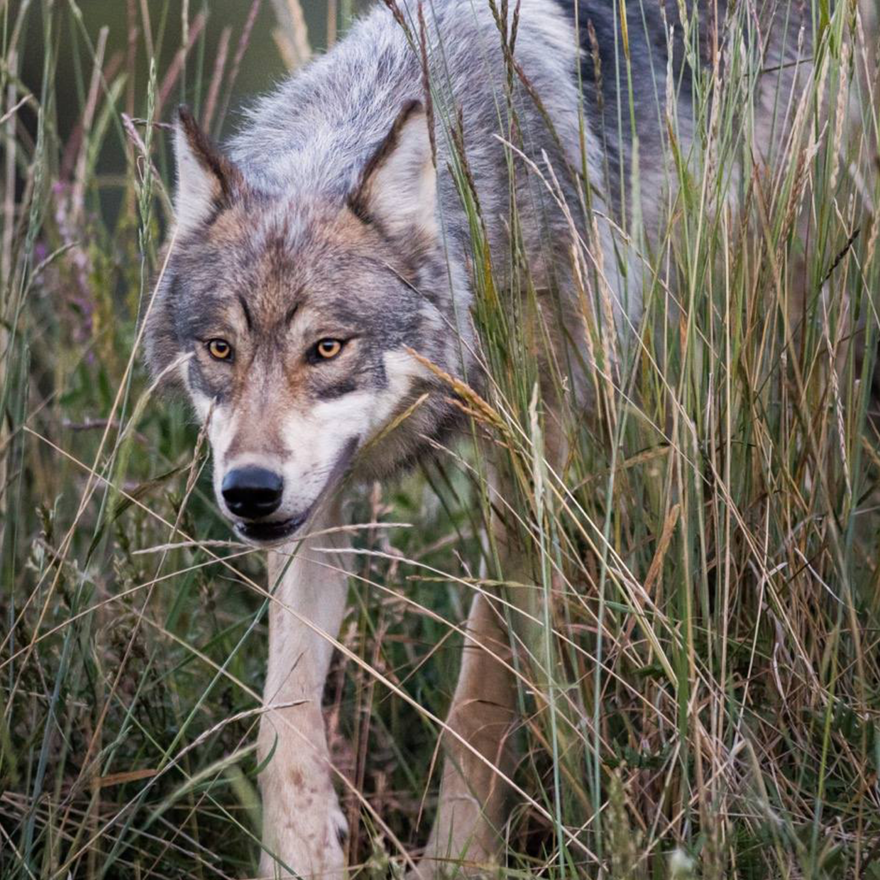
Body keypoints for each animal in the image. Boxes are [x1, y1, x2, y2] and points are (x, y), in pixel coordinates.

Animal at [144, 0, 876, 876]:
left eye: (326, 348)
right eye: (221, 349)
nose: (248, 492)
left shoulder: (529, 460)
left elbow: (482, 697)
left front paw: (459, 857)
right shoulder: (316, 514)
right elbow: (283, 726)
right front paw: (301, 858)